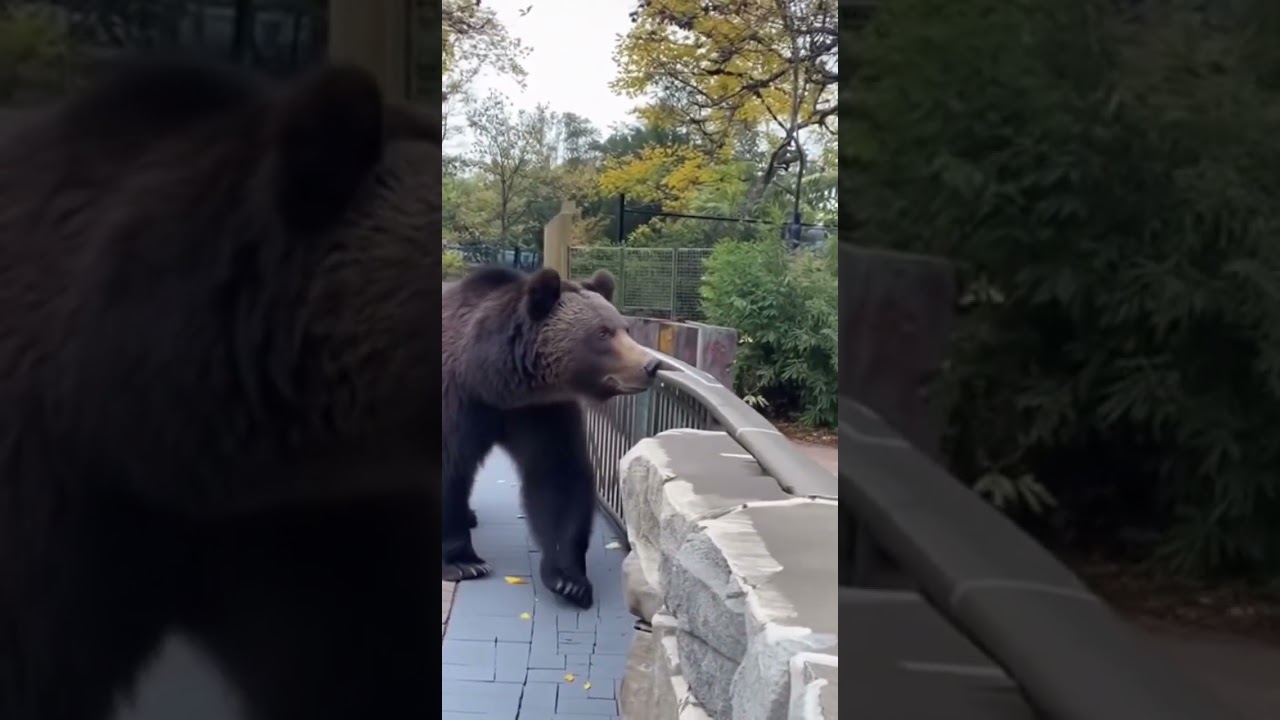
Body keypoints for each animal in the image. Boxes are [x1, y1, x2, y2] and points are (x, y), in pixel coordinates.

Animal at [441, 265, 659, 608]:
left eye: (625, 328)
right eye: (602, 333)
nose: (651, 365)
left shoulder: (540, 410)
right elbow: (449, 467)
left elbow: (557, 474)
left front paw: (569, 579)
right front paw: (465, 561)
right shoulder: (458, 399)